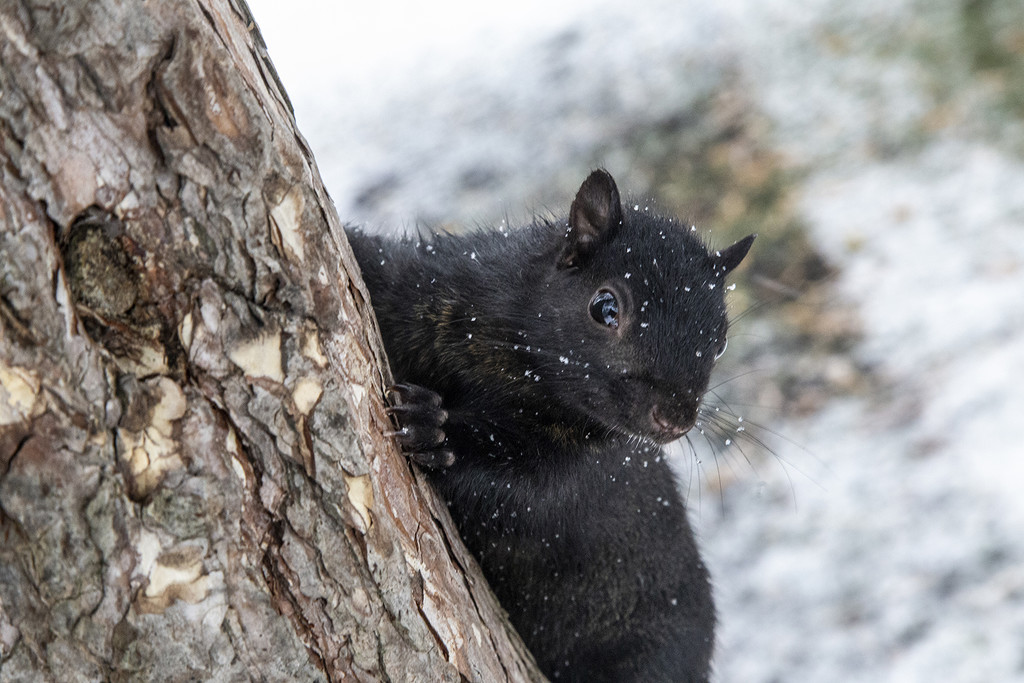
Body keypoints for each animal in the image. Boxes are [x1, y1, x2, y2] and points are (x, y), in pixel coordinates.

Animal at [348, 167, 757, 679]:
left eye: (720, 342)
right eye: (605, 307)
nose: (675, 419)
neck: (514, 366)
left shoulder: (580, 466)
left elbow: (523, 491)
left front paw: (435, 430)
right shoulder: (431, 289)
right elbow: (383, 271)